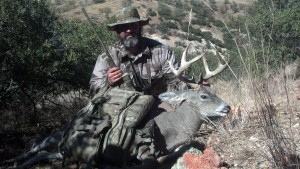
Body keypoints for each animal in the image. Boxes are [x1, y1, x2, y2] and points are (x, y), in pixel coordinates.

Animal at [4, 44, 230, 168]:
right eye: (204, 96)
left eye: (215, 93)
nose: (227, 107)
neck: (171, 130)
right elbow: (149, 161)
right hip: (58, 134)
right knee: (35, 146)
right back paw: (10, 161)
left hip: (62, 150)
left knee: (43, 154)